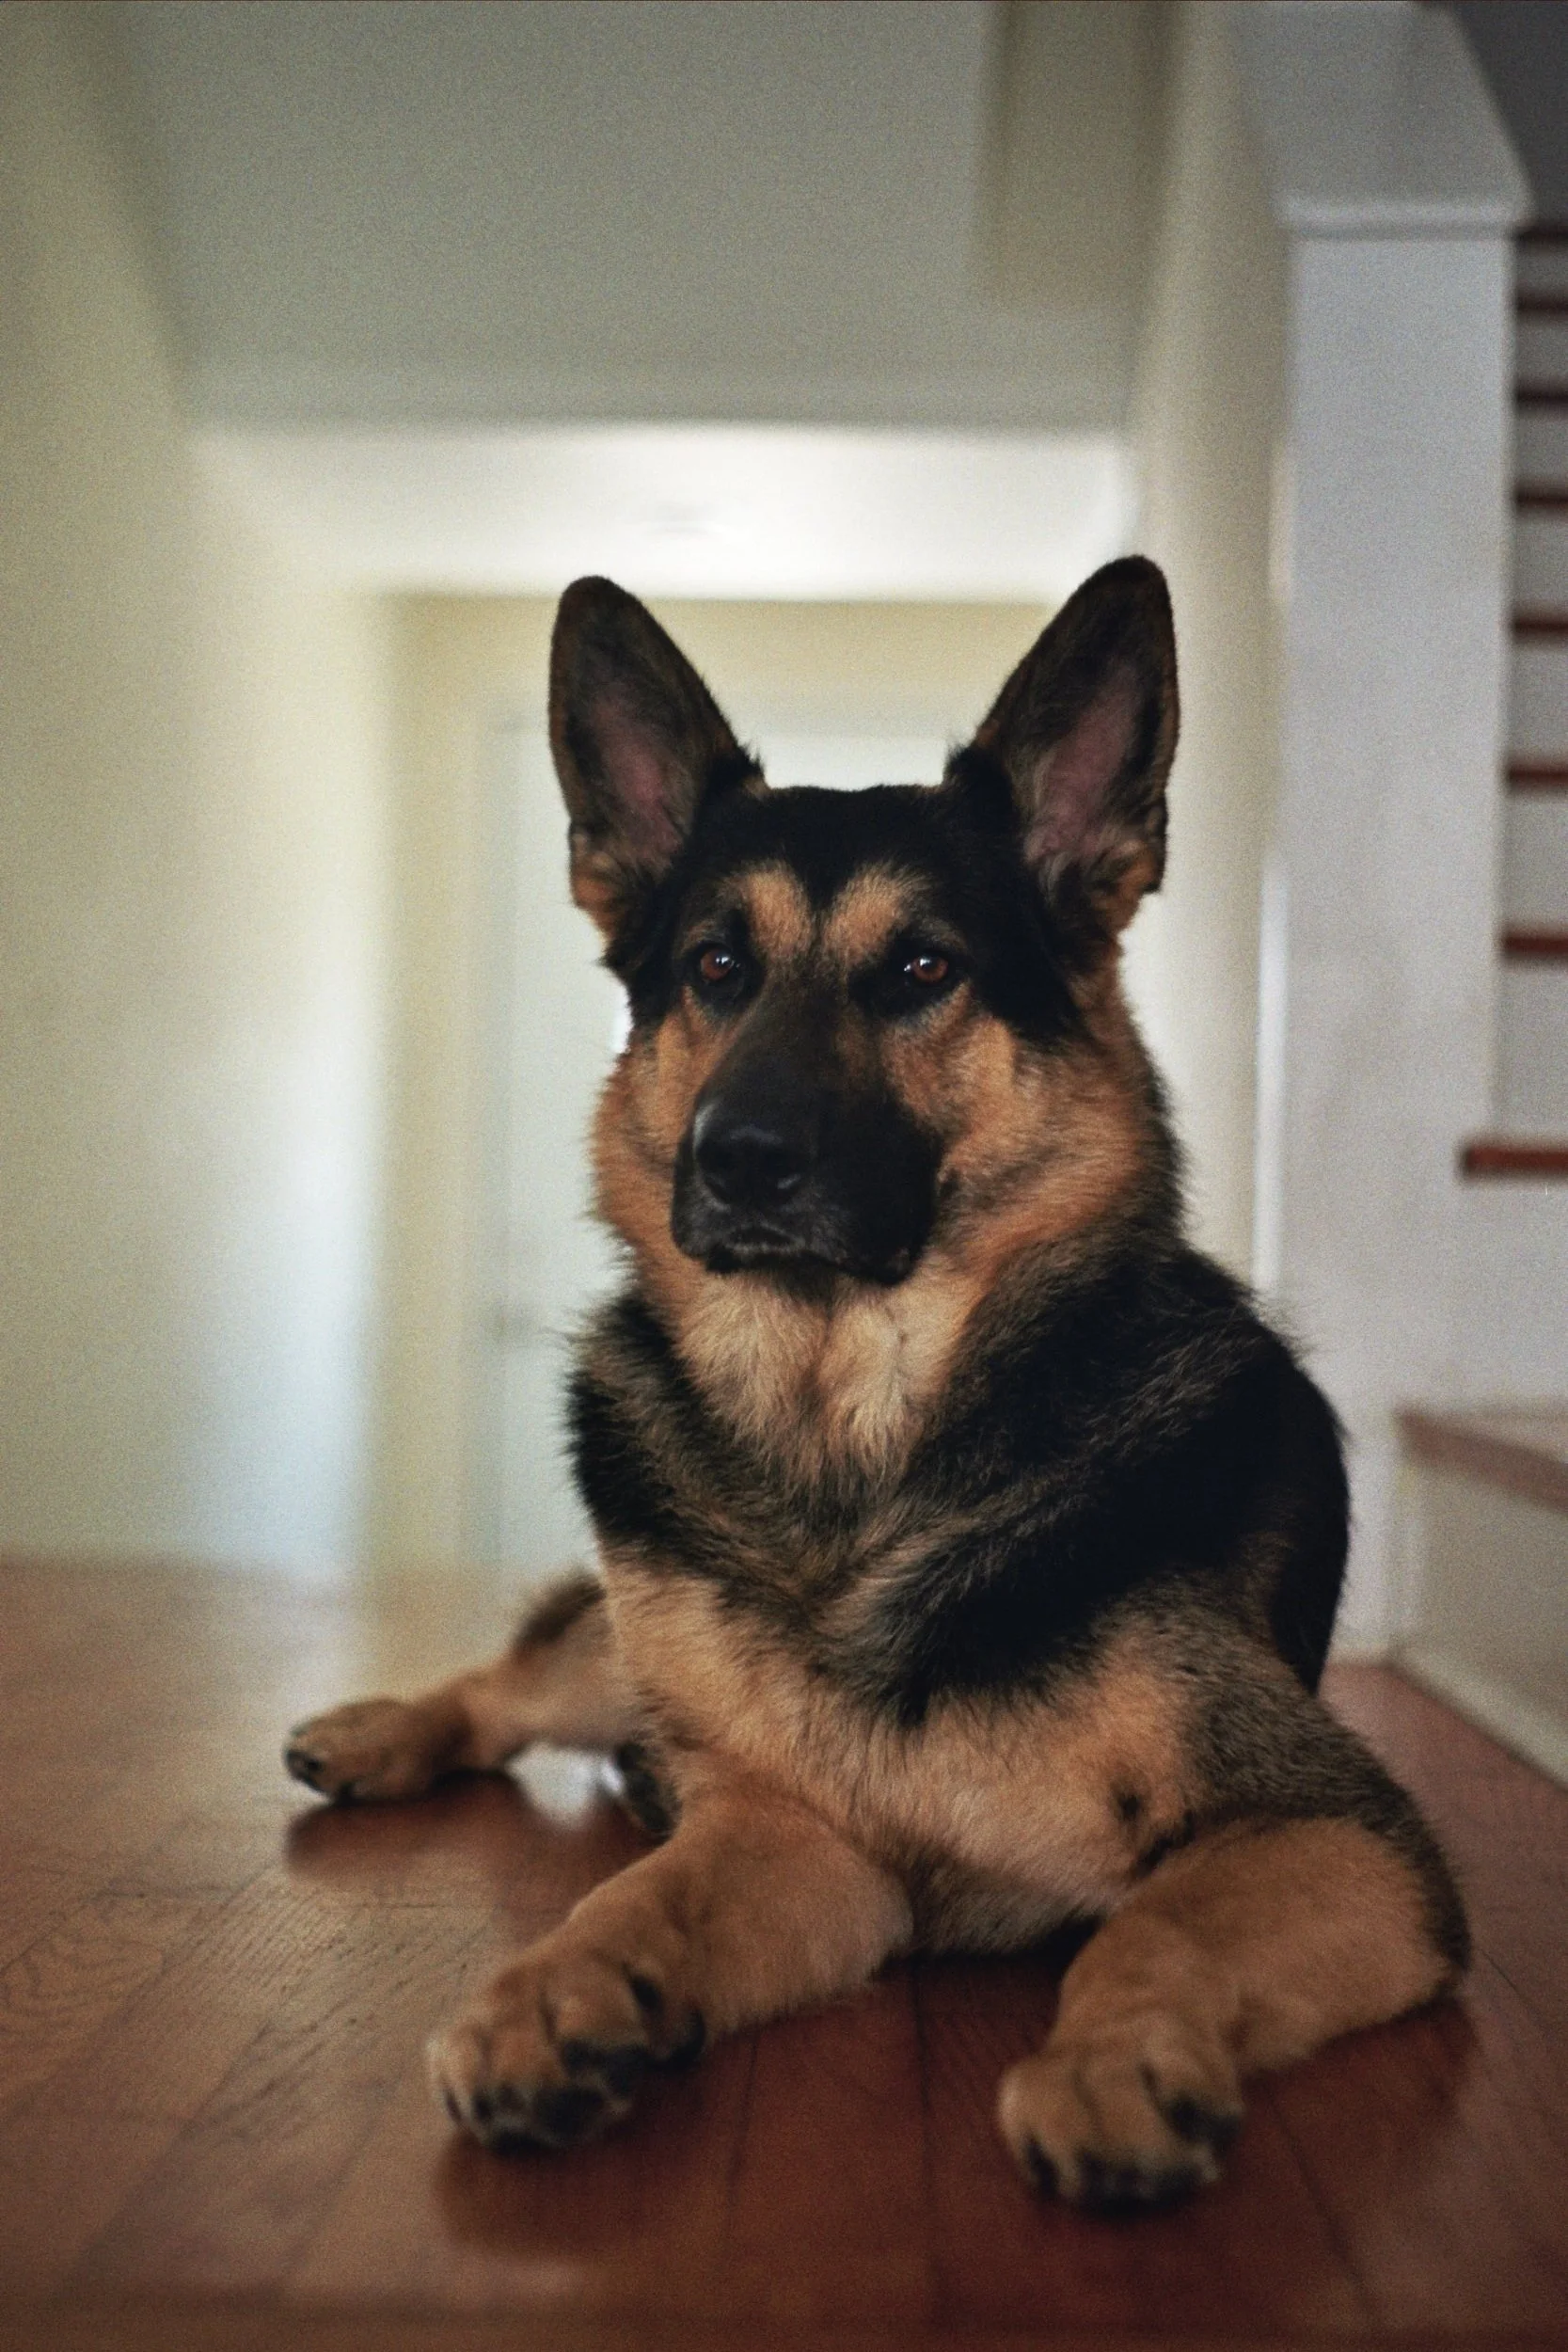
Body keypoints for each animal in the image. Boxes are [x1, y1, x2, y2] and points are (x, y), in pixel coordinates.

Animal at [285, 561, 1467, 2210]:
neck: (851, 1455)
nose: (735, 1159)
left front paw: (1112, 2062)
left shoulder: (1325, 1826)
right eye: (715, 968)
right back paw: (381, 1731)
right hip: (623, 1655)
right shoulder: (794, 1837)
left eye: (920, 970)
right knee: (516, 1680)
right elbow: (631, 1902)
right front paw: (550, 1994)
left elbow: (1153, 1927)